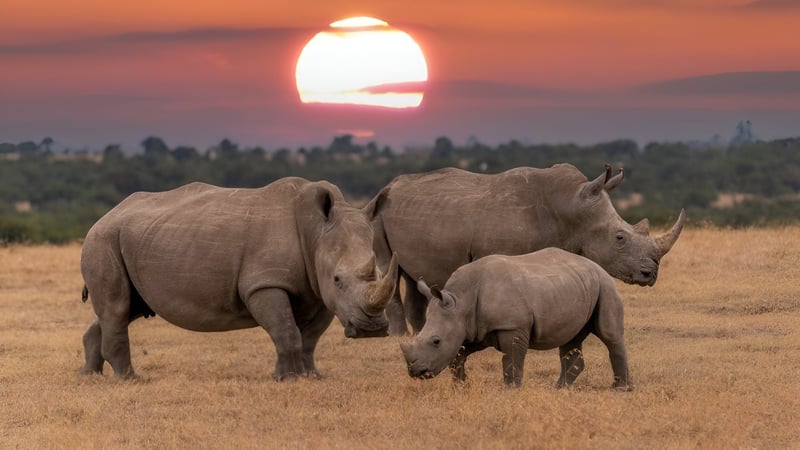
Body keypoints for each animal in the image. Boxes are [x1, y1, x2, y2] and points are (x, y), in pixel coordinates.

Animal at [80, 178, 398, 380]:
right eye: (338, 279)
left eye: (382, 273)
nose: (372, 329)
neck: (316, 232)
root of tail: (108, 214)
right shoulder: (265, 284)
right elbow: (286, 331)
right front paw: (288, 379)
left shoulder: (317, 291)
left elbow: (309, 338)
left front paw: (312, 377)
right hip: (103, 239)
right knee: (117, 308)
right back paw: (129, 379)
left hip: (132, 239)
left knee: (125, 309)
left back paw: (89, 376)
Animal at [366, 163, 685, 335]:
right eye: (619, 238)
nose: (650, 274)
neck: (571, 208)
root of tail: (388, 186)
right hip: (378, 214)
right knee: (389, 267)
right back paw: (398, 336)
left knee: (413, 273)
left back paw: (420, 331)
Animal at [400, 247, 632, 390]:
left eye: (436, 341)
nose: (415, 372)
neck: (461, 301)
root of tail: (597, 265)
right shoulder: (473, 328)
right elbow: (458, 356)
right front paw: (461, 386)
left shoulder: (512, 326)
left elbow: (511, 360)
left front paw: (510, 390)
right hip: (576, 286)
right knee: (570, 339)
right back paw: (559, 389)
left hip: (605, 285)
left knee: (610, 335)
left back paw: (621, 389)